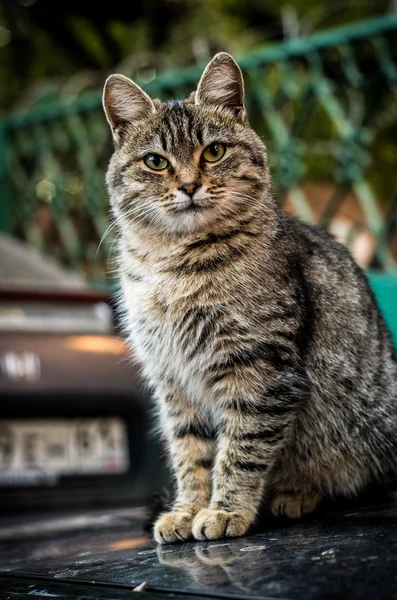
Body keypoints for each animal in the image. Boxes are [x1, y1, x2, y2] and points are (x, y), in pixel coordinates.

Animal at [102, 55, 396, 544]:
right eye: (155, 162)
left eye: (214, 152)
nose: (188, 185)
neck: (172, 265)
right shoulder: (173, 379)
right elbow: (190, 455)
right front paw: (187, 510)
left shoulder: (259, 369)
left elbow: (240, 450)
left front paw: (225, 511)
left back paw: (298, 494)